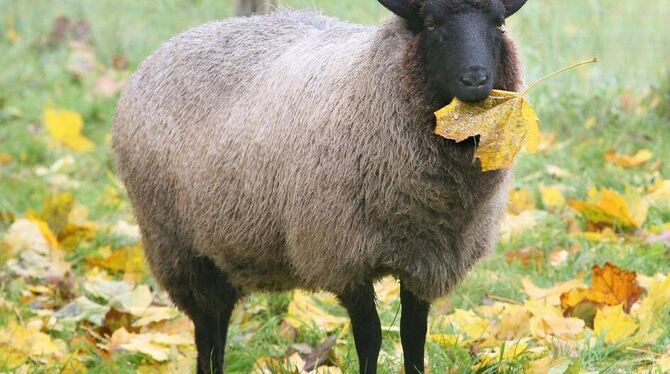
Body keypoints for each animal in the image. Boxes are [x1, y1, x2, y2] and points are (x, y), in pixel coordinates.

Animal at [114, 0, 532, 372]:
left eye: (499, 23)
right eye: (430, 23)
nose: (476, 79)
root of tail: (167, 47)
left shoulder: (426, 261)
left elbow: (414, 335)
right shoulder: (342, 254)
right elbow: (370, 338)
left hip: (221, 251)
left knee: (217, 324)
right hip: (176, 245)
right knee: (207, 332)